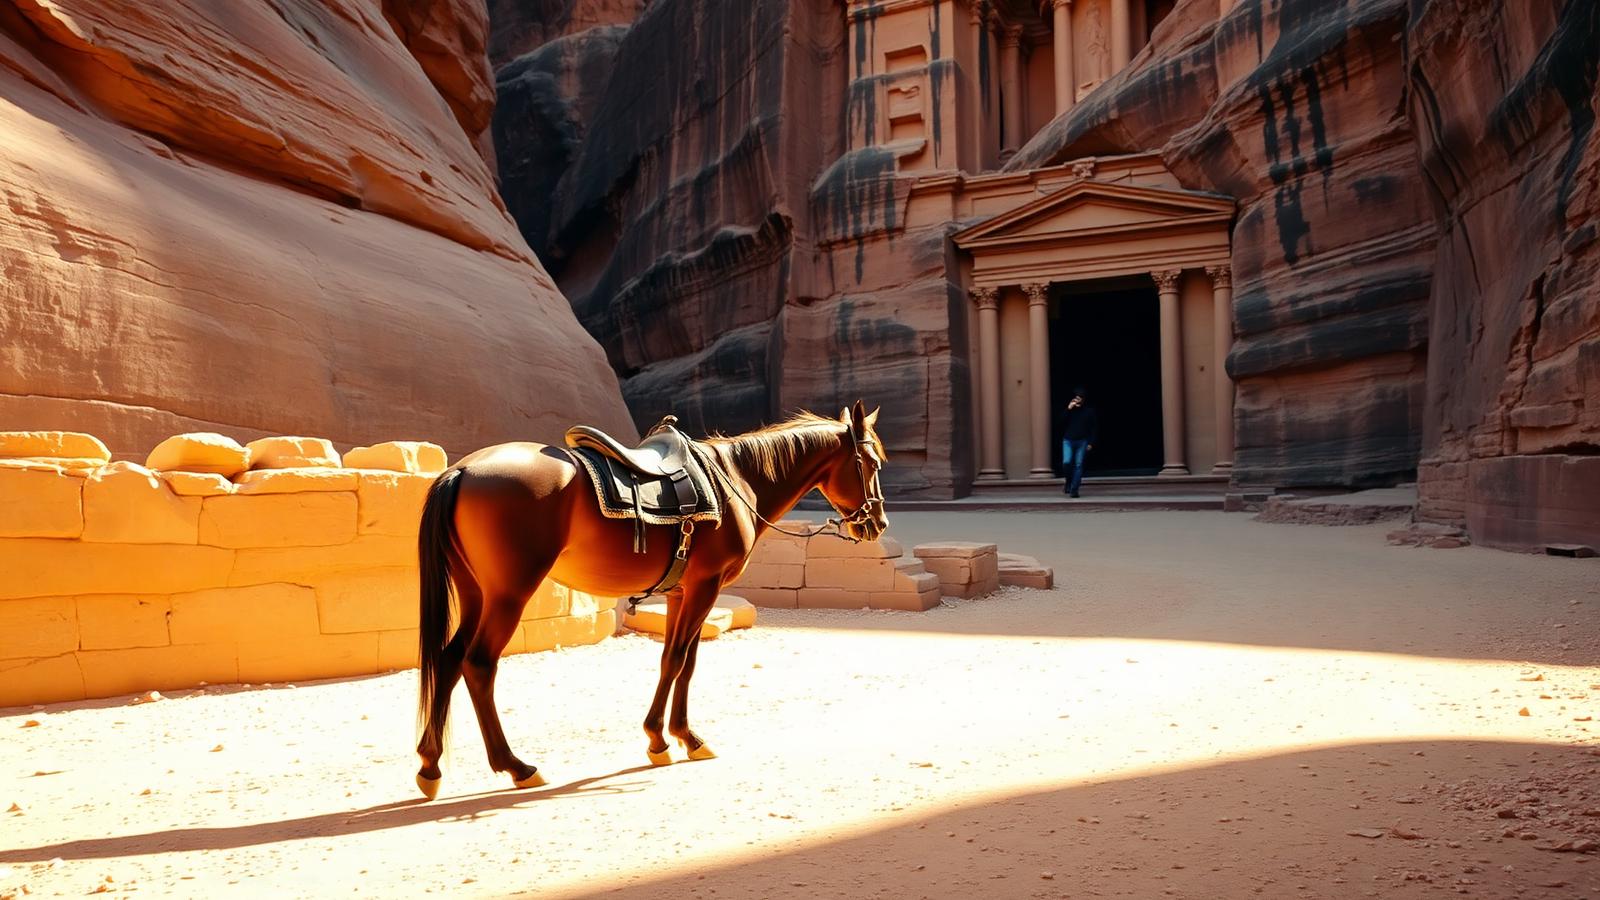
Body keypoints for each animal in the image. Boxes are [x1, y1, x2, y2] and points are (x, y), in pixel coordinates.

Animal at [412, 401, 888, 799]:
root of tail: (462, 471)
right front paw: (670, 738)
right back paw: (515, 766)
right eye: (870, 462)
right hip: (508, 594)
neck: (735, 481)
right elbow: (679, 660)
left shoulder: (683, 593)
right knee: (478, 665)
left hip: (475, 593)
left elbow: (678, 661)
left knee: (449, 660)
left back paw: (430, 765)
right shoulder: (706, 586)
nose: (878, 522)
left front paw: (674, 736)